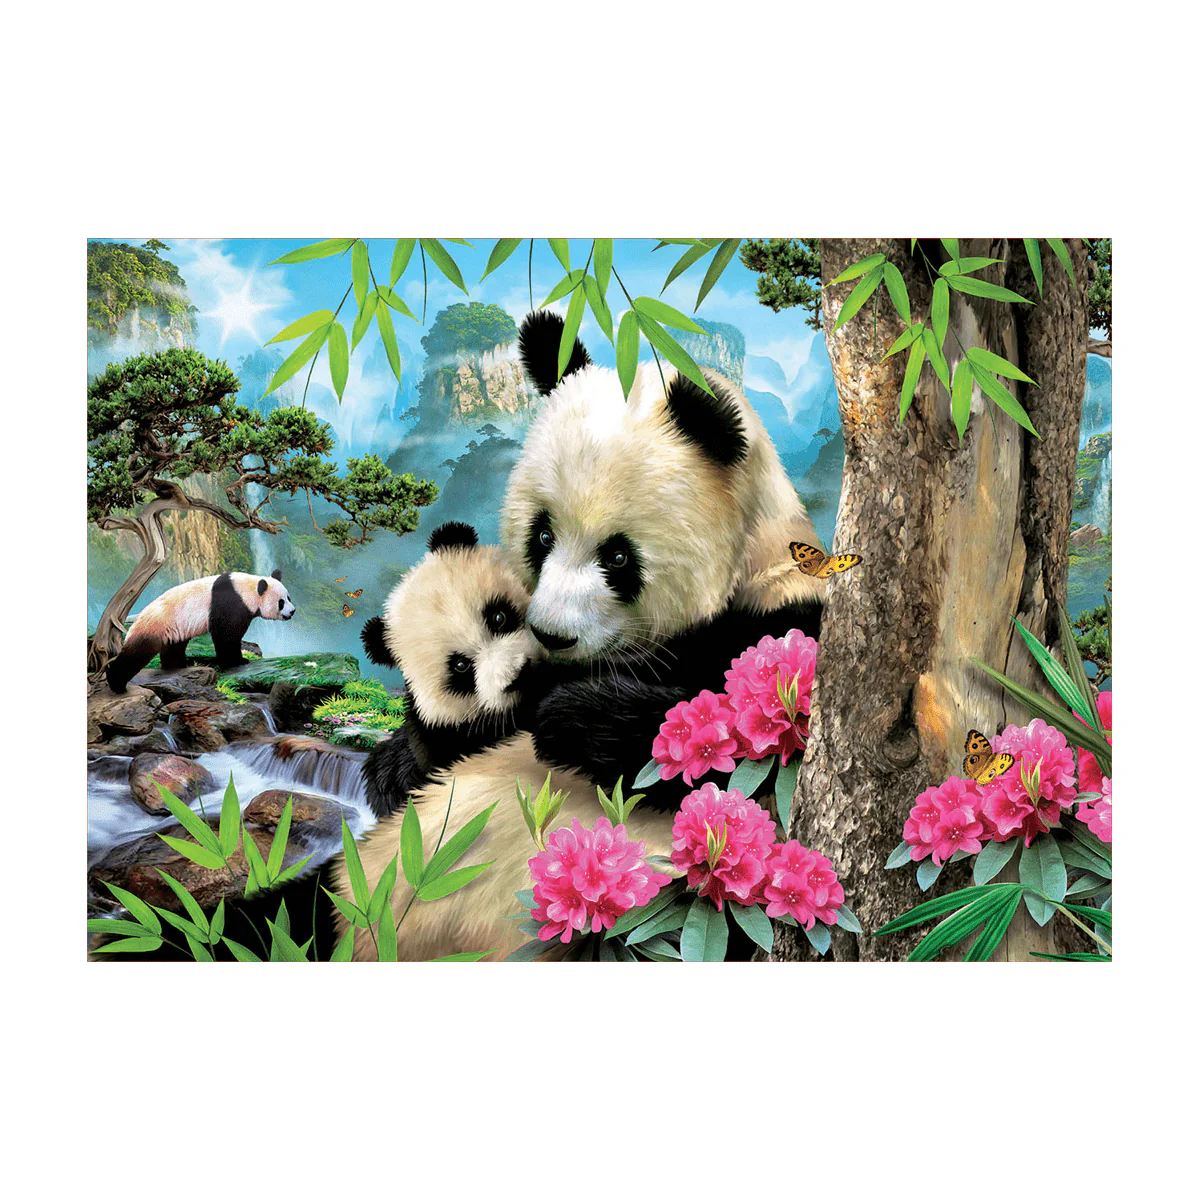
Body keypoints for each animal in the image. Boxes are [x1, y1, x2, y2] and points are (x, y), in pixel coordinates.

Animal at [106, 570, 296, 693]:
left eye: (289, 597)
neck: (247, 588)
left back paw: (179, 664)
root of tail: (136, 620)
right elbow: (226, 635)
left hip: (174, 627)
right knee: (136, 653)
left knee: (175, 646)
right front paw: (237, 661)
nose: (292, 611)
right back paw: (117, 684)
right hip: (156, 625)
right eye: (281, 602)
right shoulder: (230, 602)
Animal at [503, 310, 827, 802]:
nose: (551, 636)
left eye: (618, 557)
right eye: (541, 536)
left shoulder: (789, 624)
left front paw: (562, 709)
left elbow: (735, 746)